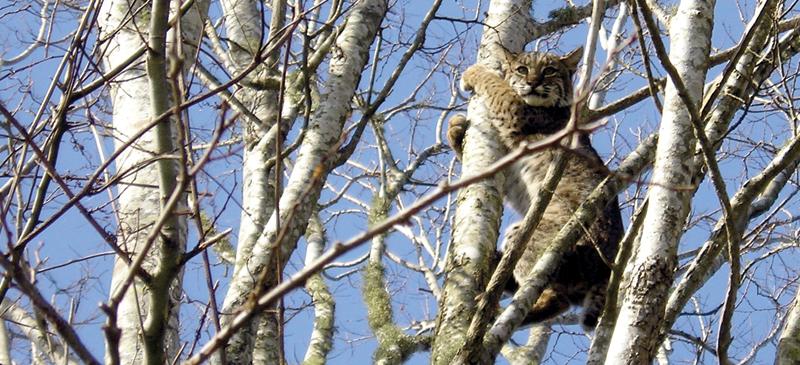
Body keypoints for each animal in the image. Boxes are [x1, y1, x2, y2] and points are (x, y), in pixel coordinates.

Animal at [450, 45, 624, 328]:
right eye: (522, 69)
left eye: (550, 71)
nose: (532, 83)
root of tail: (607, 270)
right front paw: (455, 129)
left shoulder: (517, 112)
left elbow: (496, 84)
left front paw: (474, 72)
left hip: (542, 237)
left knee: (555, 297)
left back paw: (493, 308)